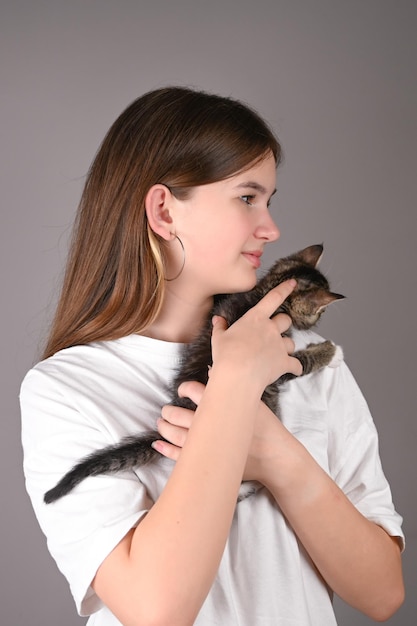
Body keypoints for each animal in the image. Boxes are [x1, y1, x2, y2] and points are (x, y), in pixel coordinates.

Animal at [44, 244, 344, 502]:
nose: (318, 321)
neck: (265, 295)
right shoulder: (274, 364)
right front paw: (330, 352)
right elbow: (302, 362)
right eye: (319, 312)